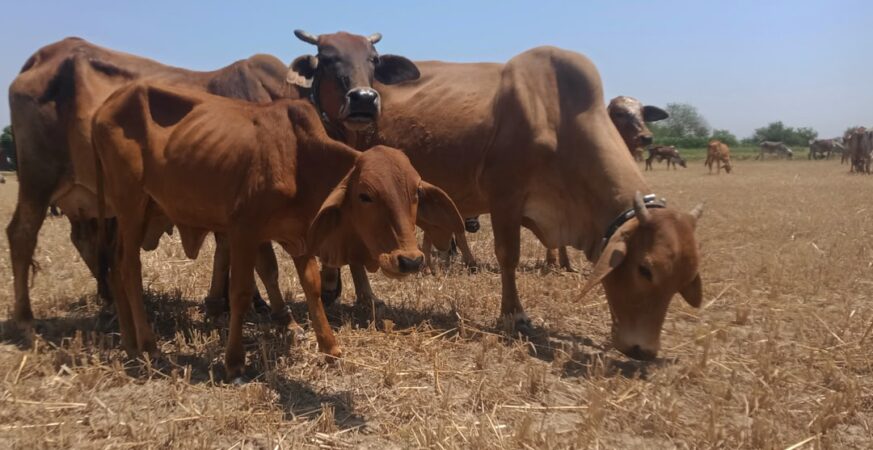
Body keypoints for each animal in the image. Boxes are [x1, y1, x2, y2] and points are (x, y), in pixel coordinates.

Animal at [7, 37, 301, 335]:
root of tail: (43, 56)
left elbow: (226, 254)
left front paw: (223, 305)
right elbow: (263, 264)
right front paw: (280, 316)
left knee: (85, 242)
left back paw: (113, 299)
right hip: (38, 180)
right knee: (22, 234)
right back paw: (26, 321)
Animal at [92, 82, 466, 380]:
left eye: (414, 194)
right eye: (365, 195)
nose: (410, 260)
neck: (300, 159)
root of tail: (103, 107)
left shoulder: (300, 234)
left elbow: (311, 286)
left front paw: (329, 347)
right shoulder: (243, 231)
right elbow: (241, 292)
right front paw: (234, 361)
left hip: (140, 212)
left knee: (114, 264)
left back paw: (130, 343)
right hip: (130, 205)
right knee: (129, 267)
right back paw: (149, 345)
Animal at [290, 33, 705, 360]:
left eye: (683, 279)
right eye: (645, 269)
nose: (643, 350)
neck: (557, 115)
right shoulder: (506, 197)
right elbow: (509, 257)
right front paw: (514, 314)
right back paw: (360, 295)